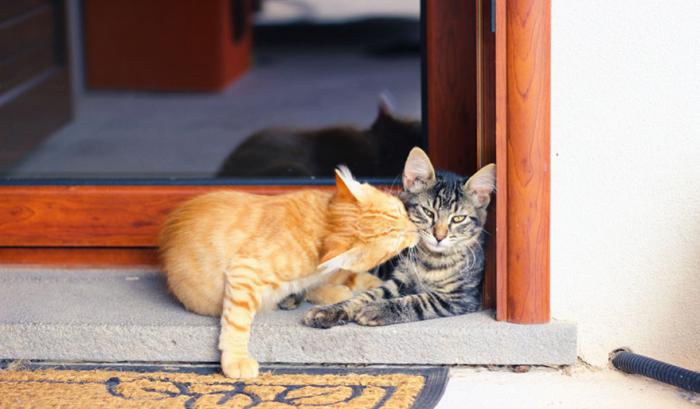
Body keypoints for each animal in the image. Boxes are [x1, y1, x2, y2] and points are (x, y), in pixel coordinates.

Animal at [160, 167, 416, 378]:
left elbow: (339, 275)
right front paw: (236, 360)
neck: (322, 224)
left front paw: (365, 283)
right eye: (395, 243)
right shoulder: (244, 272)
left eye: (400, 210)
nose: (416, 230)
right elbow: (237, 322)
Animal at [304, 148, 494, 326]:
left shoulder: (459, 296)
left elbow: (416, 301)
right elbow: (368, 295)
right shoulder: (399, 280)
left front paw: (376, 310)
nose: (439, 237)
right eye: (428, 212)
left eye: (458, 218)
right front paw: (331, 310)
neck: (431, 260)